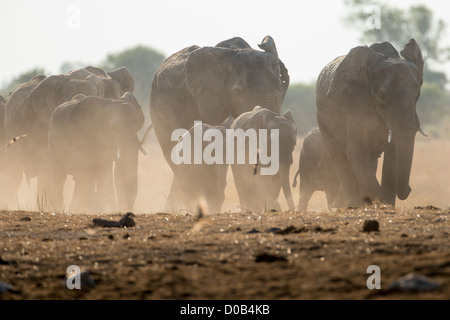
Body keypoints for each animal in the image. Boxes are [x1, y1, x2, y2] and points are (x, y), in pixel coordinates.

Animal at [314, 39, 428, 208]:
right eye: (381, 96)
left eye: (417, 96)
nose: (408, 189)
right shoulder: (355, 106)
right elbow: (358, 153)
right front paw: (377, 200)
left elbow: (392, 155)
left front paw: (386, 204)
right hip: (322, 119)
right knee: (340, 159)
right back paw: (351, 204)